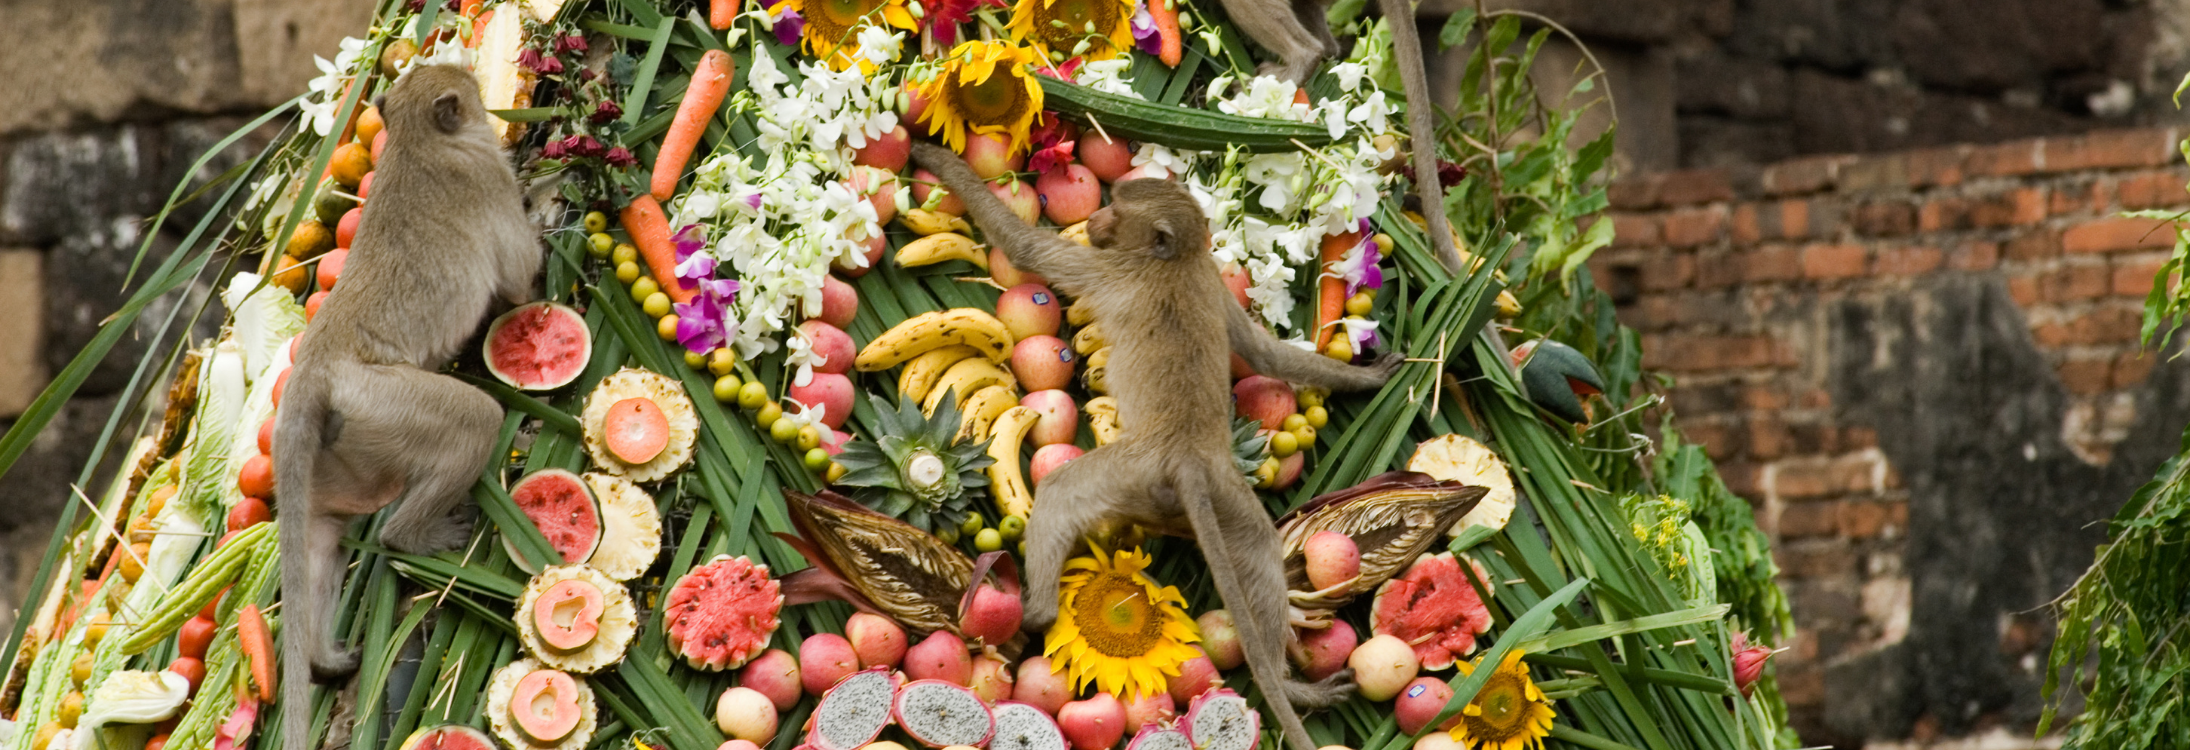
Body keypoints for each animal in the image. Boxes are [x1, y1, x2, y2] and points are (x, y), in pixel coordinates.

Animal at [272, 64, 540, 750]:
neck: (416, 144)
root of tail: (315, 367)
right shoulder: (486, 173)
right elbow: (520, 277)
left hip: (343, 451)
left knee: (322, 534)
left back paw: (324, 656)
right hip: (388, 405)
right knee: (475, 420)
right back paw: (411, 536)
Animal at [911, 141, 1400, 750]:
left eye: (1118, 212)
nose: (1097, 220)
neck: (1175, 259)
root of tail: (1186, 458)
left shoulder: (1110, 268)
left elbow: (1023, 246)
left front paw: (938, 161)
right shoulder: (1212, 281)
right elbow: (1264, 353)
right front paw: (1366, 378)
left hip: (1129, 472)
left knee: (1062, 490)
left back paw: (1036, 613)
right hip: (1221, 489)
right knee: (1258, 545)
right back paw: (1294, 685)